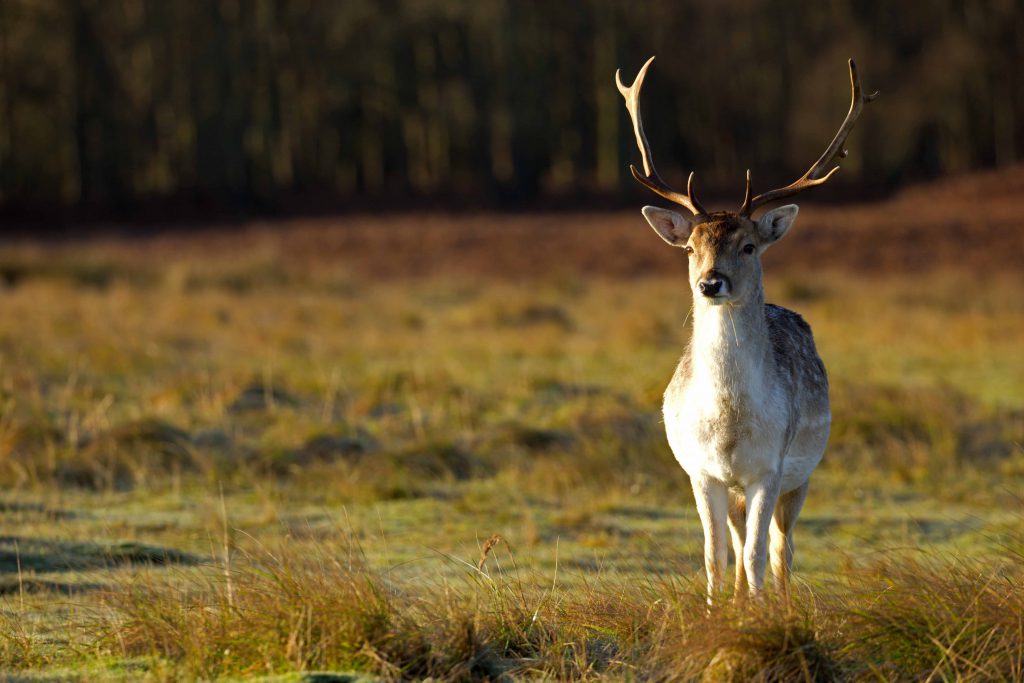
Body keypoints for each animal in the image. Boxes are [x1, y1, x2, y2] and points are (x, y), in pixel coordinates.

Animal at [610, 60, 876, 602]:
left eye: (749, 246)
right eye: (691, 247)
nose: (711, 282)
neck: (727, 427)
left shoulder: (769, 468)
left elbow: (757, 554)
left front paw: (759, 612)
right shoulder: (701, 471)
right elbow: (715, 556)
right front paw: (720, 611)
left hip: (803, 473)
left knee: (781, 548)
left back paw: (781, 601)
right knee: (738, 542)